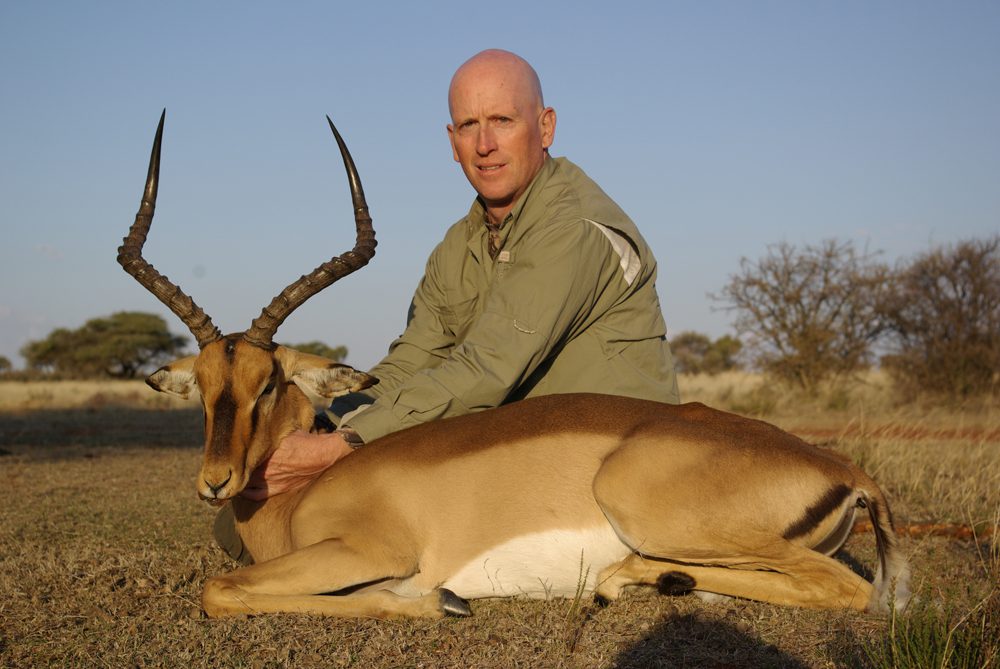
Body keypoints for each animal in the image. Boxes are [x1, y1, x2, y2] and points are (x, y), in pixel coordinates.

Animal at [120, 112, 910, 620]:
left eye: (270, 383)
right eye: (204, 388)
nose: (215, 481)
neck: (299, 496)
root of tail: (849, 472)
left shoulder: (366, 549)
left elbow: (221, 590)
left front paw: (435, 600)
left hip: (648, 509)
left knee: (850, 590)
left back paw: (624, 581)